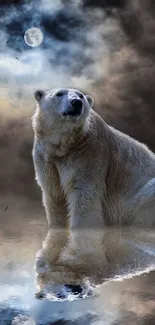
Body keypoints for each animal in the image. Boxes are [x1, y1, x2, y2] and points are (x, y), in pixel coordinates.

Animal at [32, 87, 155, 298]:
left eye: (81, 95)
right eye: (59, 93)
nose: (76, 103)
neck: (65, 146)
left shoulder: (89, 152)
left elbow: (84, 195)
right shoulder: (45, 157)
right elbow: (54, 196)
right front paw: (57, 229)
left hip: (141, 198)